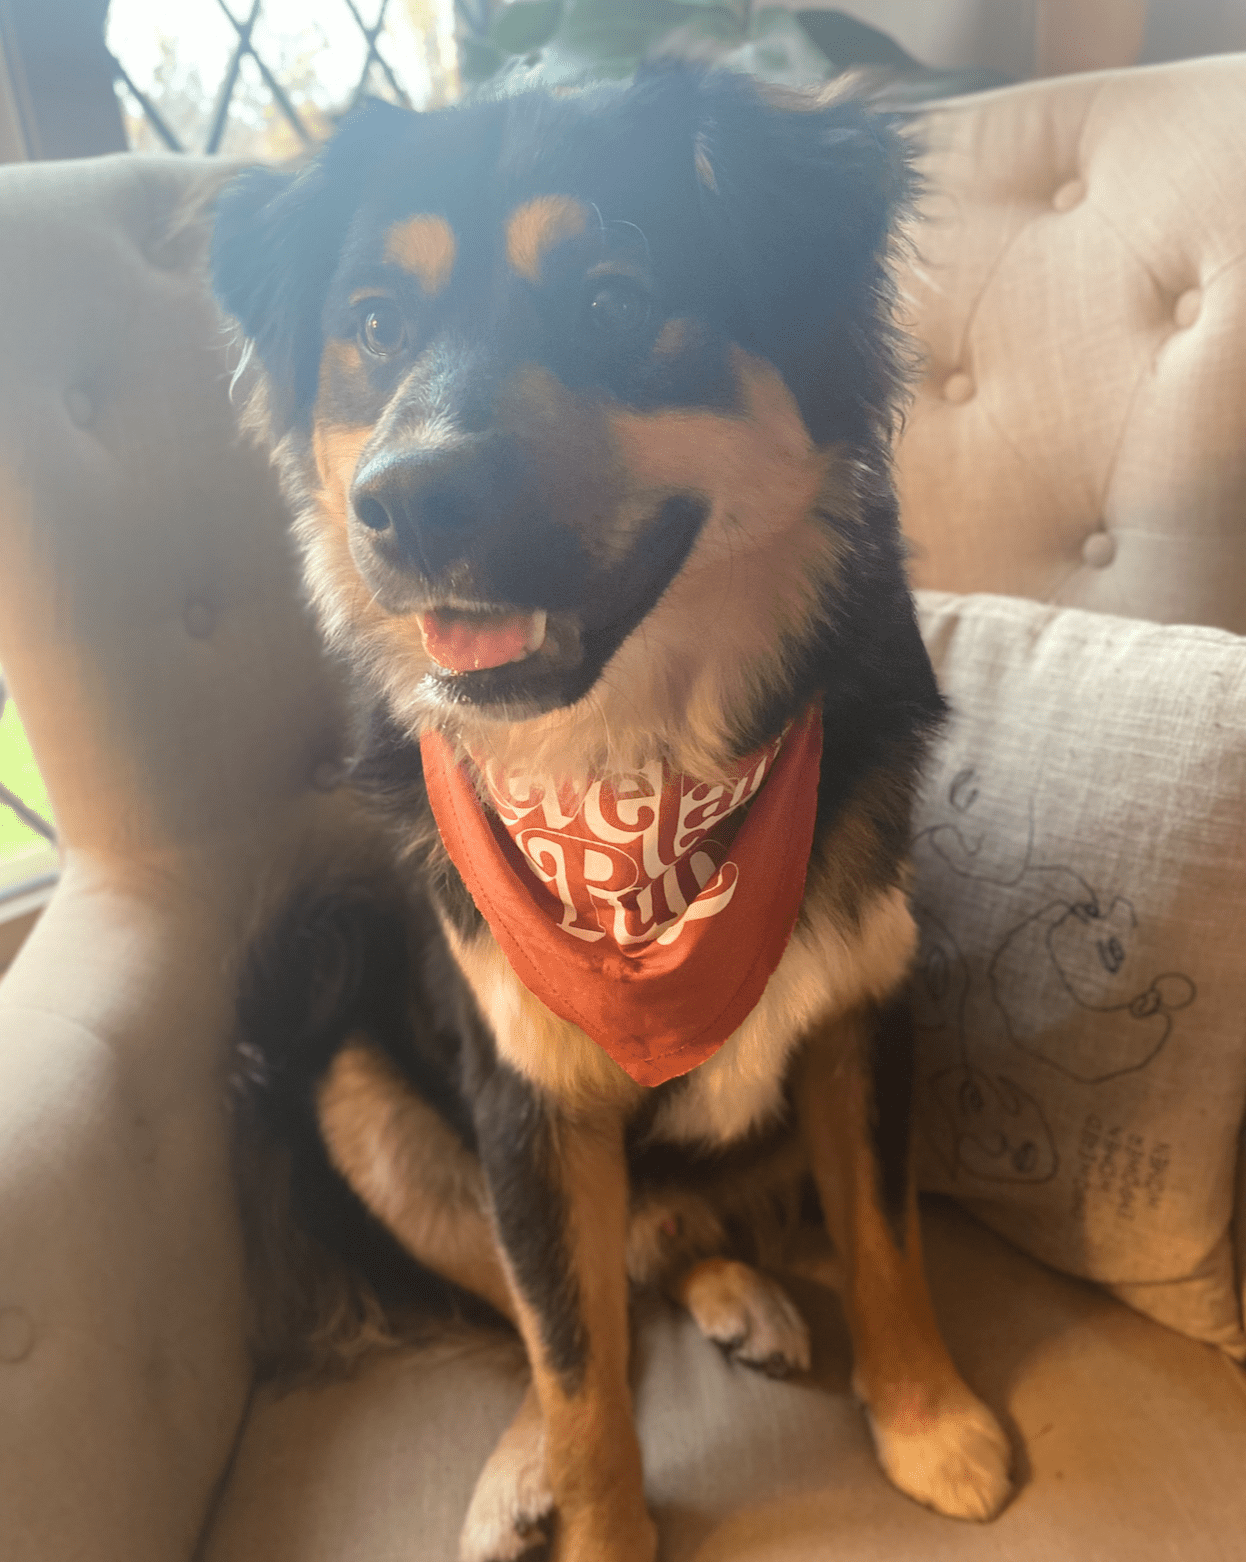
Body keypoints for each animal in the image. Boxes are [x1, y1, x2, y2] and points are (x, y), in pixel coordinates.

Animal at [215, 64, 1011, 1562]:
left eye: (612, 301)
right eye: (374, 326)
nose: (406, 501)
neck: (633, 771)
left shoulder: (859, 1005)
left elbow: (886, 1240)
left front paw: (928, 1419)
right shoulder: (526, 1094)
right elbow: (573, 1358)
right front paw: (595, 1516)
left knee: (660, 1252)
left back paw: (736, 1291)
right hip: (355, 1083)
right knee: (562, 1310)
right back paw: (520, 1459)